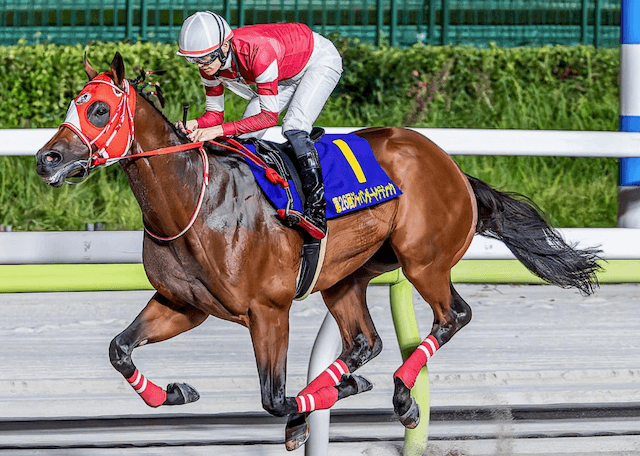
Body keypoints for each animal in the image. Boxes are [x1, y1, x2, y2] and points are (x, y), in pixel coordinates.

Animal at [35, 52, 596, 448]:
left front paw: (329, 401)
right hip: (346, 276)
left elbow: (273, 397)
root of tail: (451, 164)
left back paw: (400, 395)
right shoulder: (182, 304)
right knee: (365, 341)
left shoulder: (269, 310)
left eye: (99, 108)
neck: (194, 199)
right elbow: (119, 349)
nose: (47, 159)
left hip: (423, 261)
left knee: (452, 316)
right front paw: (175, 392)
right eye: (71, 105)